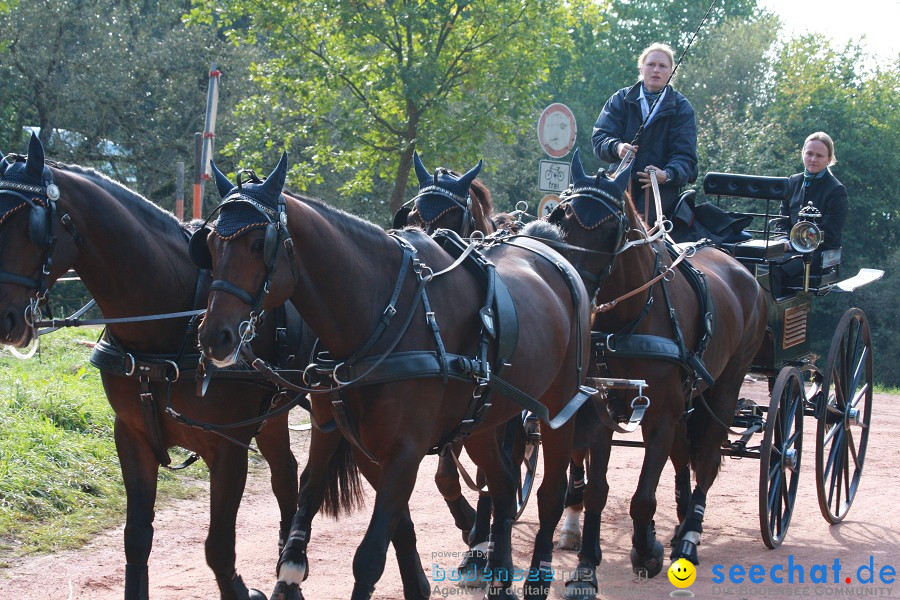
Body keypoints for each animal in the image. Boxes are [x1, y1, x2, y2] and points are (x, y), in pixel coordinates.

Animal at [0, 134, 330, 596]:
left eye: (26, 226)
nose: (3, 319)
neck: (170, 326)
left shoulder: (228, 448)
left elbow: (218, 547)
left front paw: (242, 589)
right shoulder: (132, 437)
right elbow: (137, 538)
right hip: (272, 414)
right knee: (285, 474)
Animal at [193, 154, 596, 600]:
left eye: (256, 244)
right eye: (209, 245)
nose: (214, 336)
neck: (379, 316)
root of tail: (549, 250)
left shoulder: (405, 449)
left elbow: (369, 555)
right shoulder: (361, 443)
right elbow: (392, 525)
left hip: (559, 407)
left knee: (550, 493)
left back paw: (538, 572)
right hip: (484, 421)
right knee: (505, 490)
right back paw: (499, 576)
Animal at [548, 149, 768, 596]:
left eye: (609, 227)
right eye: (562, 217)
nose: (573, 288)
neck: (631, 319)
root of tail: (737, 266)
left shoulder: (661, 413)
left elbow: (644, 495)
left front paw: (646, 550)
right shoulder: (603, 409)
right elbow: (597, 491)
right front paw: (586, 567)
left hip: (725, 387)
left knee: (706, 461)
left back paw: (688, 539)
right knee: (685, 455)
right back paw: (681, 521)